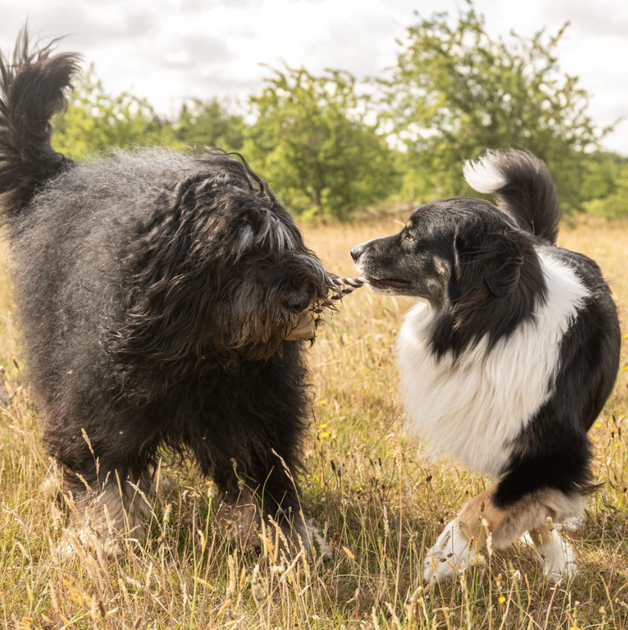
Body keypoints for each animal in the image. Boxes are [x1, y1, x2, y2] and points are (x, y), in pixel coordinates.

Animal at [0, 35, 336, 552]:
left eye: (284, 242)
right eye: (243, 253)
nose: (303, 293)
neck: (200, 352)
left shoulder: (260, 409)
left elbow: (271, 478)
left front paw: (292, 541)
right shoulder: (103, 407)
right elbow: (106, 477)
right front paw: (105, 541)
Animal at [350, 151, 620, 584]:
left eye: (411, 235)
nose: (353, 252)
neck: (492, 327)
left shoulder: (558, 448)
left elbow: (483, 506)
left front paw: (445, 557)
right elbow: (506, 502)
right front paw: (555, 560)